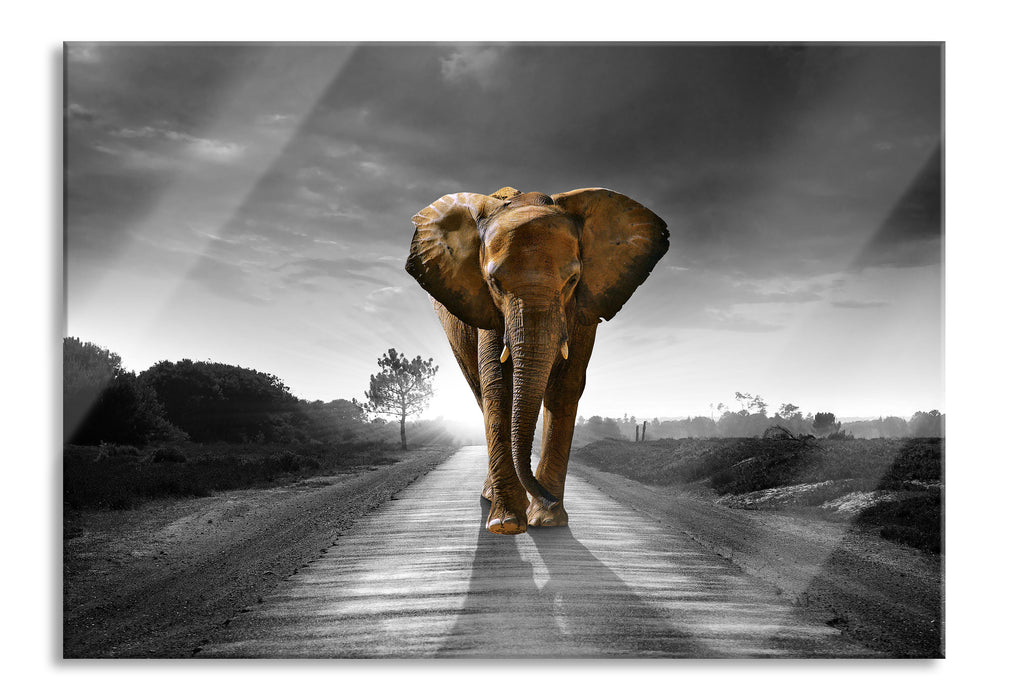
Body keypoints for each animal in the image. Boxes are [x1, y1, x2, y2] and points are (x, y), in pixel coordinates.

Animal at [405, 186, 669, 535]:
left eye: (572, 281)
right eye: (495, 283)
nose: (548, 499)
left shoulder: (584, 307)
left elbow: (565, 386)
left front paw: (548, 520)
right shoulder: (487, 308)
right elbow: (498, 386)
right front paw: (506, 524)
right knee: (480, 392)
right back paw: (492, 498)